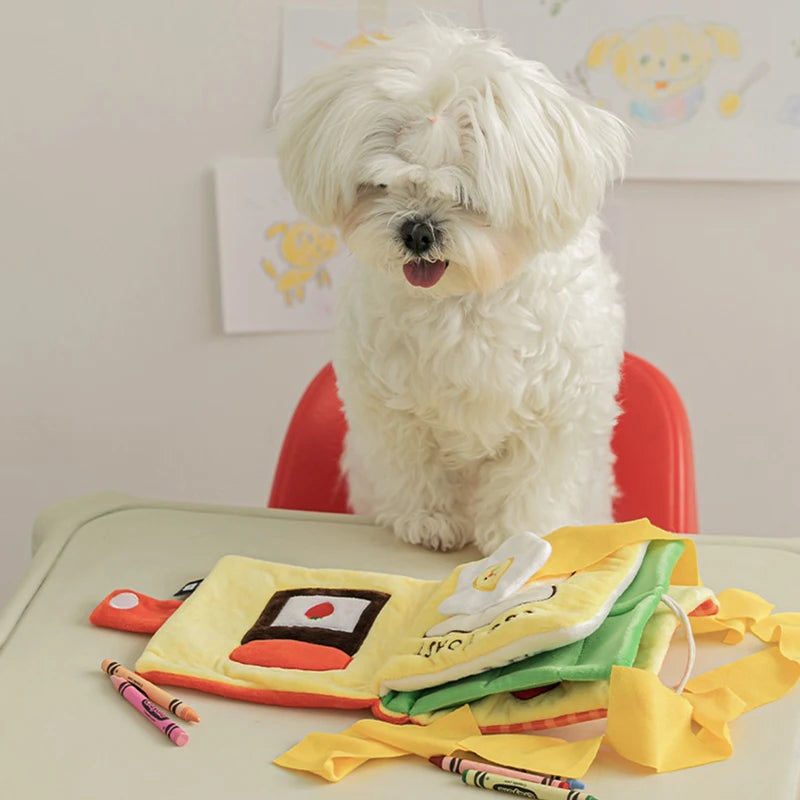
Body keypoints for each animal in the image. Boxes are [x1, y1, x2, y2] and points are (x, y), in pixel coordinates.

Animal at [278, 21, 628, 552]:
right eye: (380, 185)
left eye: (466, 195)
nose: (417, 231)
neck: (462, 300)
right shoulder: (392, 409)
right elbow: (413, 465)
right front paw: (429, 520)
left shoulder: (554, 412)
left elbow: (531, 479)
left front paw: (517, 533)